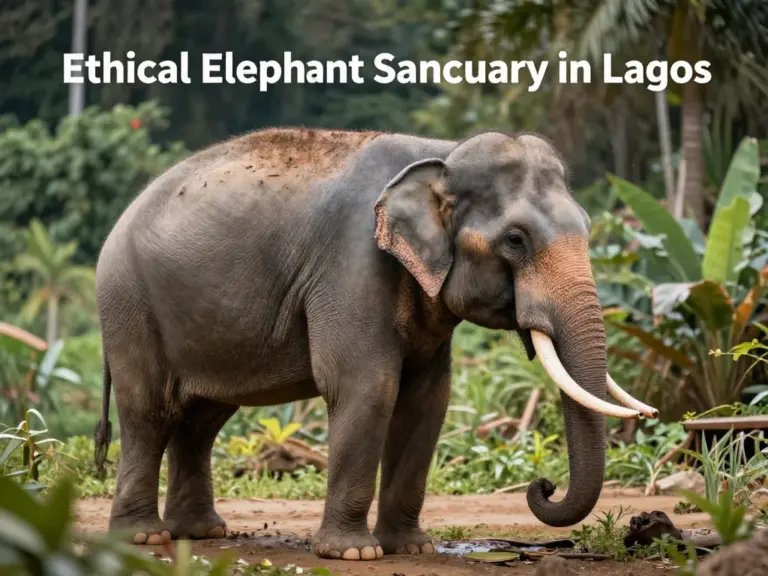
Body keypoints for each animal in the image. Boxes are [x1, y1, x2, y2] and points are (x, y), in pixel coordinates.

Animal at [92, 127, 657, 561]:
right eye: (515, 240)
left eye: (589, 228)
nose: (543, 486)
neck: (441, 155)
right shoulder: (351, 265)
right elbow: (367, 387)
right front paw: (355, 553)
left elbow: (427, 400)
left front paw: (410, 548)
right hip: (129, 303)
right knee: (149, 410)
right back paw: (144, 537)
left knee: (201, 419)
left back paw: (202, 532)